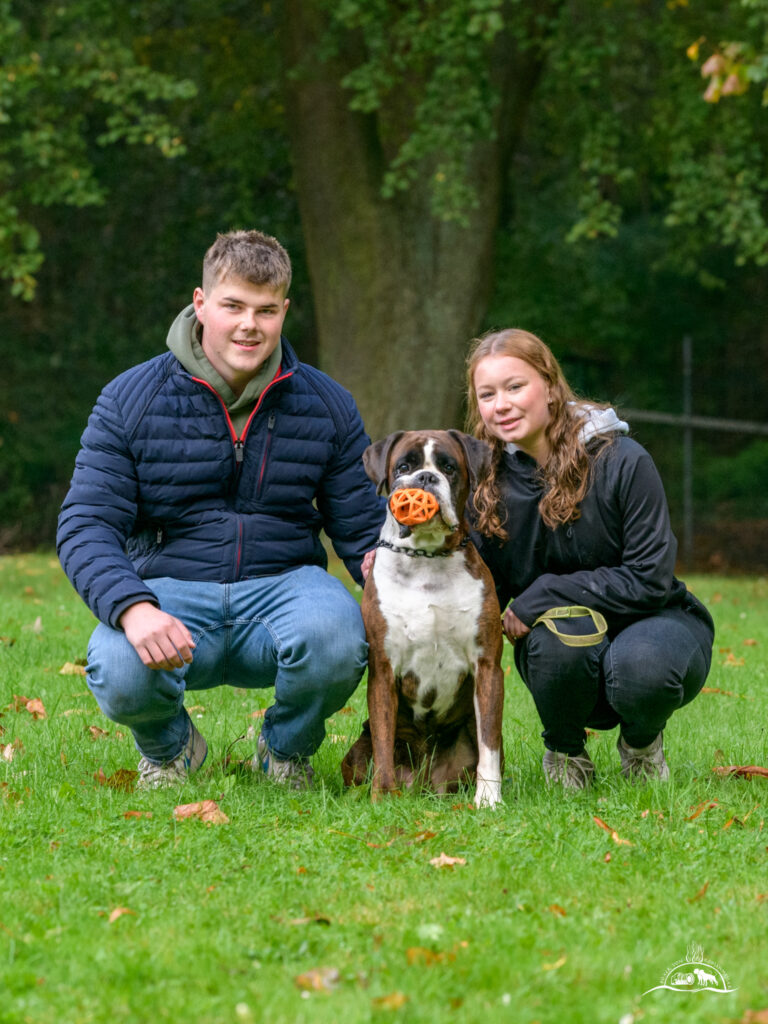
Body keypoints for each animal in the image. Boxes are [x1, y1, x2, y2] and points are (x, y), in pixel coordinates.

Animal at [342, 428, 505, 802]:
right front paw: (382, 797)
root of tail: (424, 784)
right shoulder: (384, 671)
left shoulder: (488, 666)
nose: (426, 478)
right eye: (404, 467)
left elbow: (489, 742)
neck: (427, 558)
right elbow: (384, 740)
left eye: (449, 467)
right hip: (356, 752)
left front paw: (488, 800)